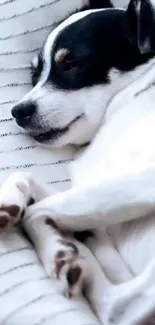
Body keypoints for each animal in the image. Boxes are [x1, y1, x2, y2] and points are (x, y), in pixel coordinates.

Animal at [1, 0, 155, 322]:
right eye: (34, 76)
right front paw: (10, 200)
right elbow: (25, 176)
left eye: (71, 65)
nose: (18, 111)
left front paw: (59, 248)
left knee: (119, 307)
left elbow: (38, 210)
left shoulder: (143, 183)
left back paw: (67, 257)